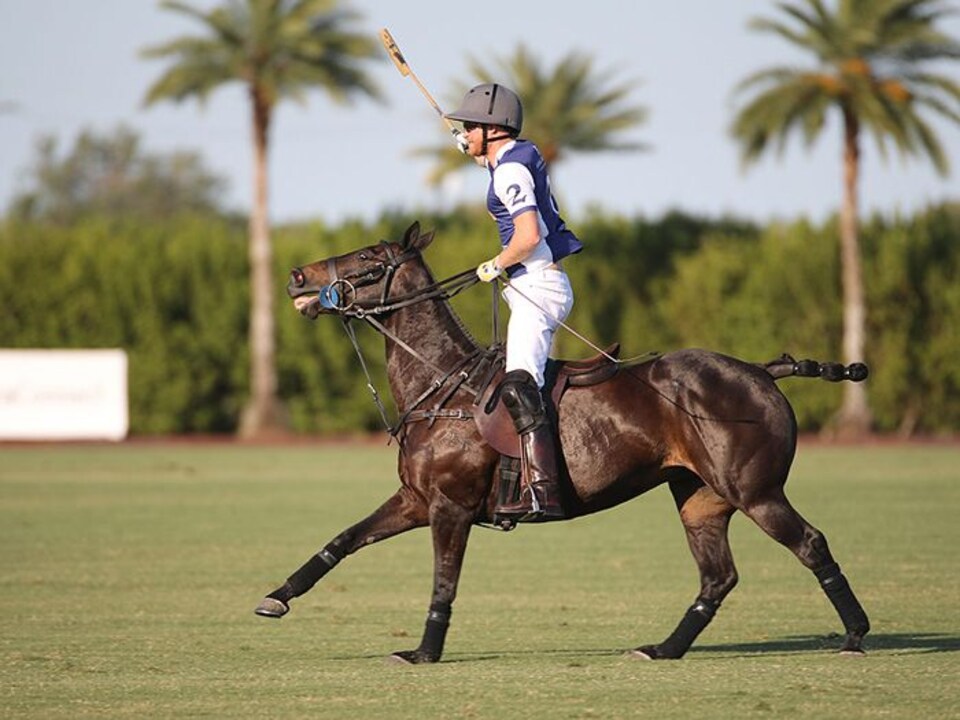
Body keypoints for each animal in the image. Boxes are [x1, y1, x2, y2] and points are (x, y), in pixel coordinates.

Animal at [255, 224, 872, 664]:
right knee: (718, 576)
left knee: (810, 543)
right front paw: (276, 597)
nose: (296, 276)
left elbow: (443, 580)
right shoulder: (417, 499)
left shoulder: (450, 505)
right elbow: (342, 541)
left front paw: (423, 652)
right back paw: (663, 649)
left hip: (755, 490)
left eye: (367, 259)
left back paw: (855, 635)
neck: (444, 382)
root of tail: (762, 370)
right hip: (700, 497)